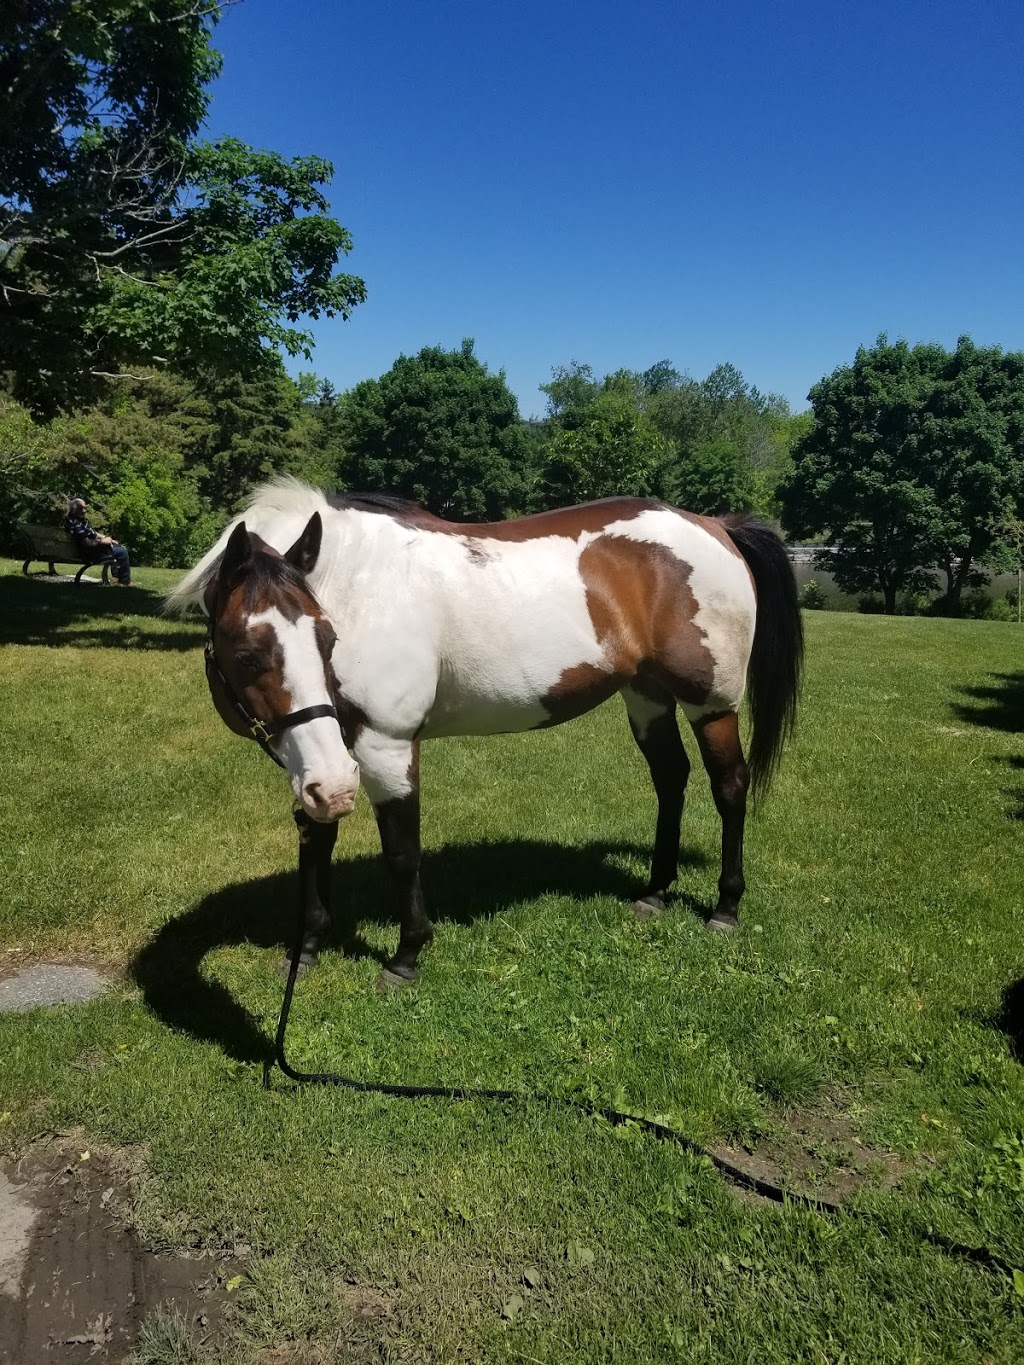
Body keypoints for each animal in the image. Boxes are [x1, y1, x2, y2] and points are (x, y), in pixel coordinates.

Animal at [170, 480, 802, 993]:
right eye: (247, 654)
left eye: (327, 638)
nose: (335, 785)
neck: (355, 582)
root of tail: (716, 525)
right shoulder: (320, 757)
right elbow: (315, 843)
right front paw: (305, 952)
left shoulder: (384, 747)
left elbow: (402, 852)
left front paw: (406, 956)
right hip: (646, 697)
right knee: (671, 779)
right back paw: (654, 892)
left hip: (710, 704)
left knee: (729, 787)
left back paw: (725, 905)